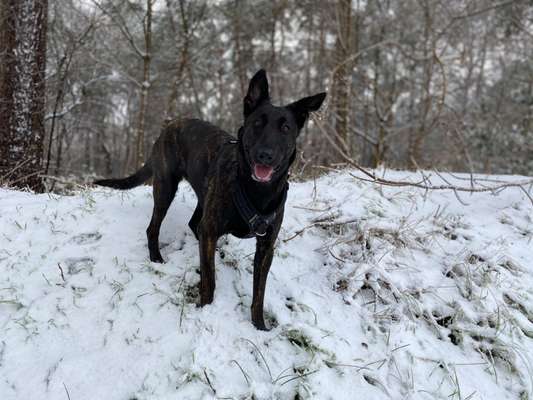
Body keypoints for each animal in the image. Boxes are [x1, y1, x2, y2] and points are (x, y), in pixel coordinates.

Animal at [97, 69, 326, 332]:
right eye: (257, 123)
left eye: (286, 128)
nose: (265, 155)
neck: (256, 190)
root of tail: (169, 125)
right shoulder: (211, 229)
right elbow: (209, 280)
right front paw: (204, 309)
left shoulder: (266, 247)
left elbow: (259, 292)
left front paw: (259, 326)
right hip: (165, 188)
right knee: (153, 227)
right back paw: (156, 258)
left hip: (203, 196)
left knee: (194, 224)